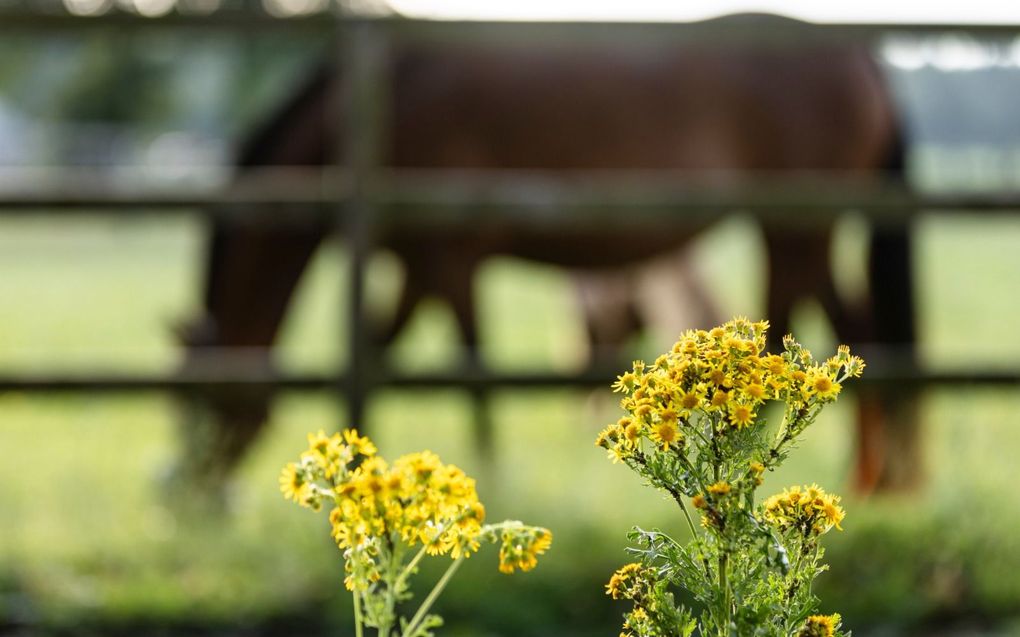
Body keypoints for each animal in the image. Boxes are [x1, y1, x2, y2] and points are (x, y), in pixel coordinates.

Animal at [179, 13, 922, 491]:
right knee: (855, 337)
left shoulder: (446, 262)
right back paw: (869, 480)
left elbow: (472, 372)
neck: (381, 104)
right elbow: (382, 353)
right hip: (801, 231)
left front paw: (488, 477)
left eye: (202, 398)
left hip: (795, 226)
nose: (193, 492)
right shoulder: (420, 267)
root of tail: (860, 57)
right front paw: (362, 464)